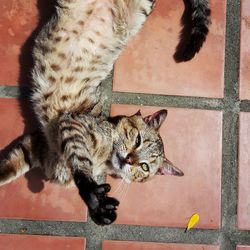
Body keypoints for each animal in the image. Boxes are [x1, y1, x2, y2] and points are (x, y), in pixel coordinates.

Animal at [0, 0, 211, 226]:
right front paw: (94, 198)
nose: (129, 159)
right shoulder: (71, 124)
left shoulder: (39, 146)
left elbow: (11, 165)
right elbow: (79, 160)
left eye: (145, 167)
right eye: (137, 140)